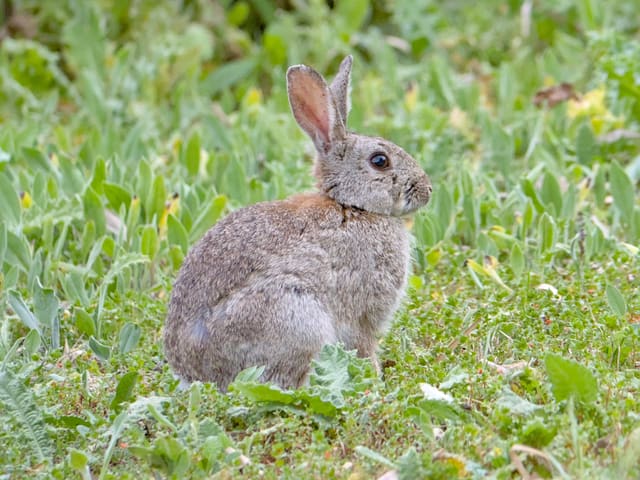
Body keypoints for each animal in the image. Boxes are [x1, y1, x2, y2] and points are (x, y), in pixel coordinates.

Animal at [164, 55, 432, 391]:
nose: (427, 190)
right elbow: (365, 348)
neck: (352, 206)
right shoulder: (361, 316)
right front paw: (375, 381)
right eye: (380, 161)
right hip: (296, 317)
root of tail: (193, 375)